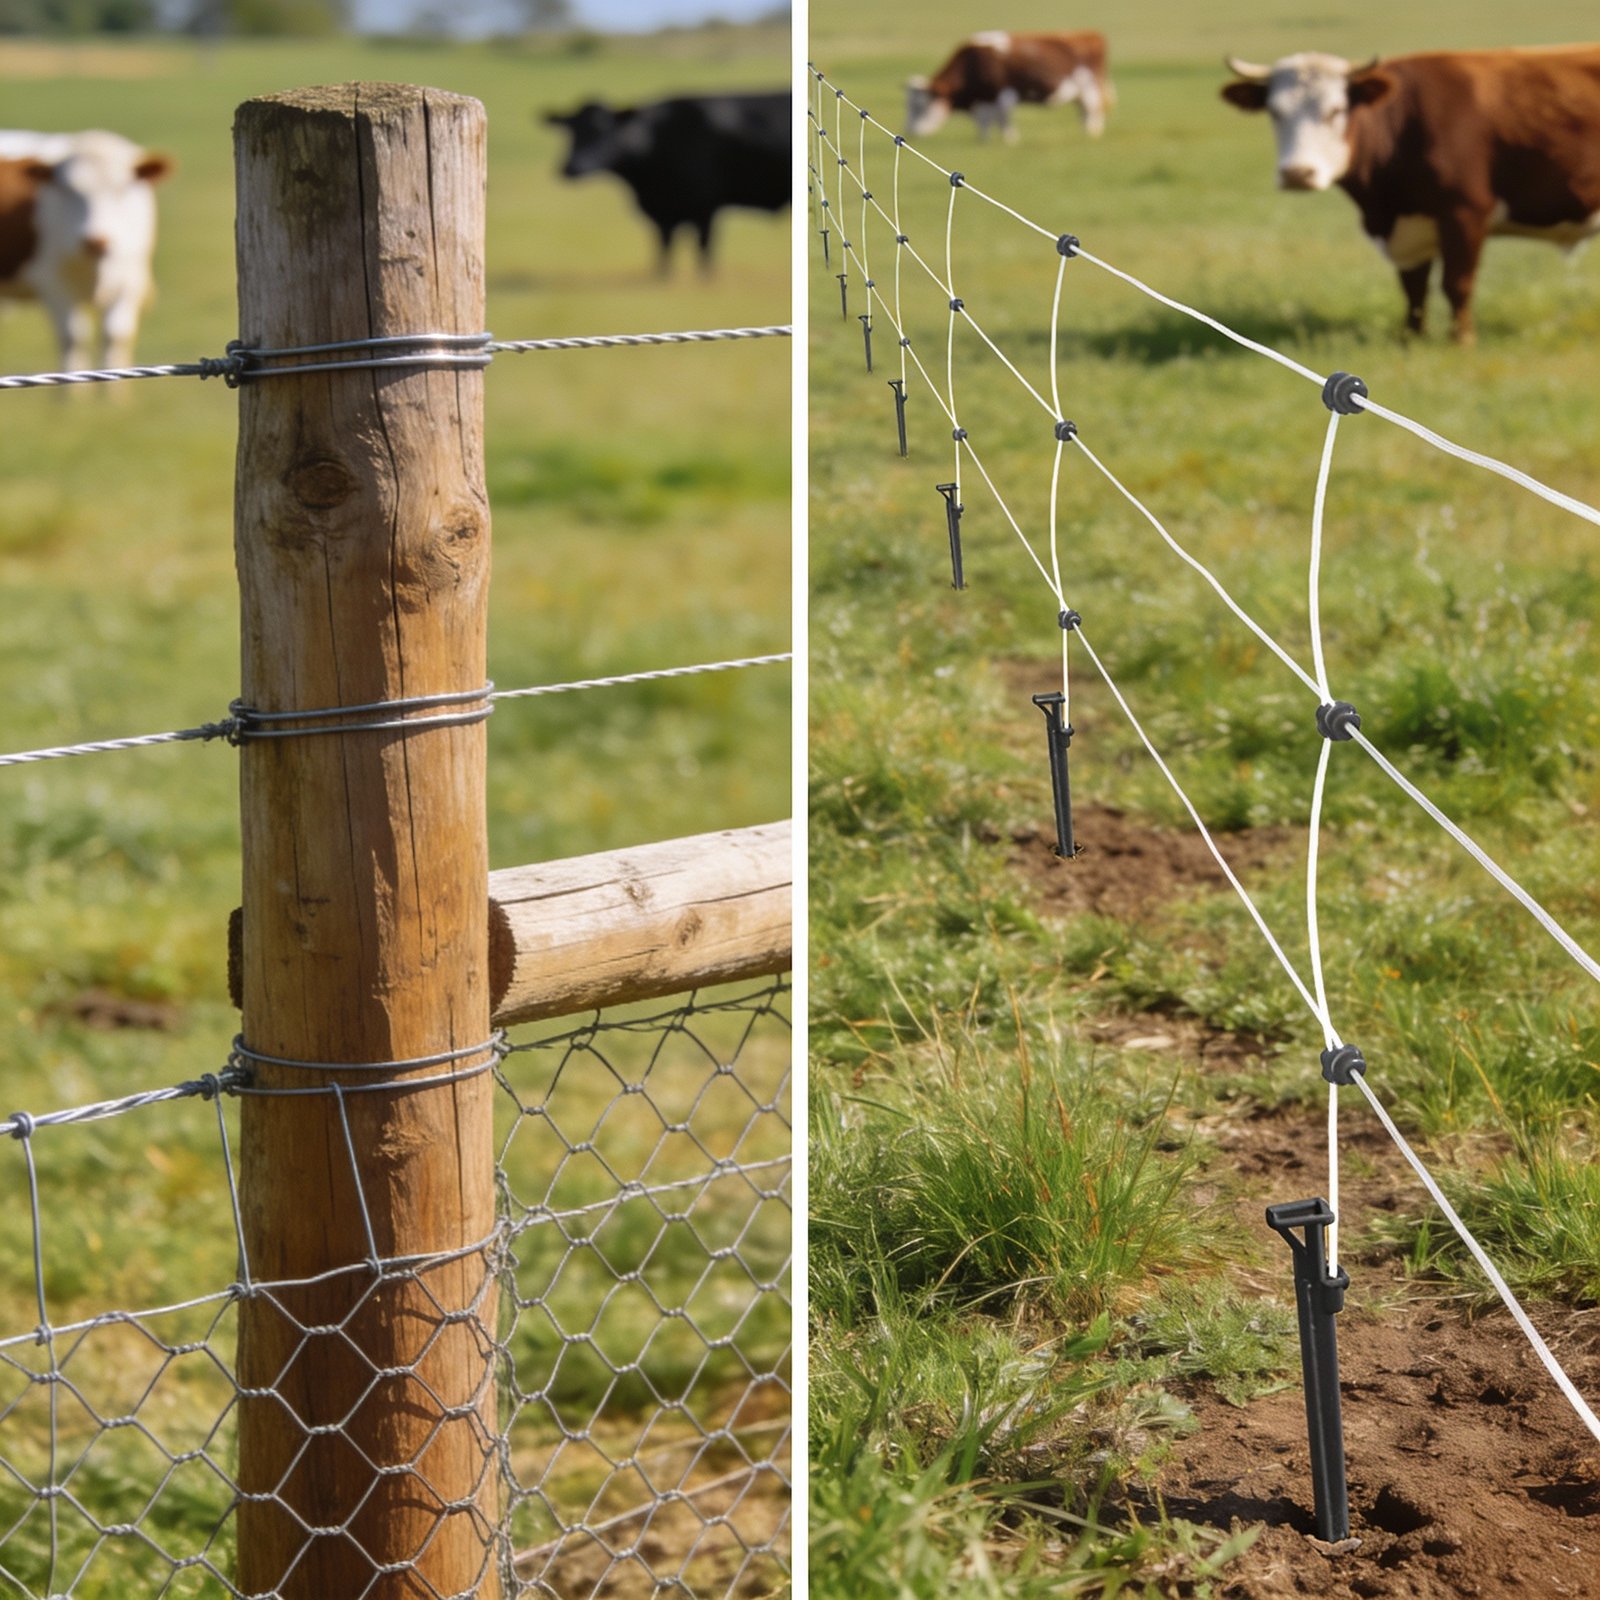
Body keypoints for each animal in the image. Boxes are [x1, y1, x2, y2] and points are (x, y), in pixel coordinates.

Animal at [0, 128, 173, 370]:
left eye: (122, 189)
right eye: (68, 190)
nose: (96, 241)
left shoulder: (129, 281)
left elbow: (114, 337)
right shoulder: (55, 283)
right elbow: (73, 339)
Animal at [543, 92, 789, 275]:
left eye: (602, 130)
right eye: (570, 130)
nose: (571, 167)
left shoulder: (706, 208)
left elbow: (704, 250)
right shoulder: (663, 213)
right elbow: (664, 249)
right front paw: (663, 278)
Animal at [905, 31, 1114, 142]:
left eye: (922, 106)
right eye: (908, 106)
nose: (910, 131)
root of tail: (1090, 34)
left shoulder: (1002, 95)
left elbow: (1003, 120)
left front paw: (1009, 141)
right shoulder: (984, 100)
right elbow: (985, 122)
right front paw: (984, 140)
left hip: (1090, 90)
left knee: (1093, 112)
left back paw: (1091, 135)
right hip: (1080, 94)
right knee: (1085, 114)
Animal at [1221, 49, 1600, 343]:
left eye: (1336, 110)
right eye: (1275, 112)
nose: (1297, 174)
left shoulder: (1465, 212)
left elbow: (1457, 282)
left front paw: (1462, 342)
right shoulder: (1408, 227)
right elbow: (1413, 286)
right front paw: (1412, 338)